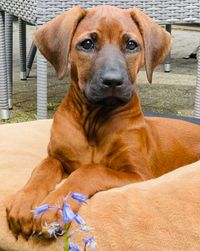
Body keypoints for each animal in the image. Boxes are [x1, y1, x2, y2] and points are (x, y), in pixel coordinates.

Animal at [5, 4, 200, 238]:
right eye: (87, 43)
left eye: (131, 44)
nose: (113, 81)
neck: (94, 120)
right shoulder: (56, 157)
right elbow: (42, 169)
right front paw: (24, 202)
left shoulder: (138, 174)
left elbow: (90, 170)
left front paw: (56, 208)